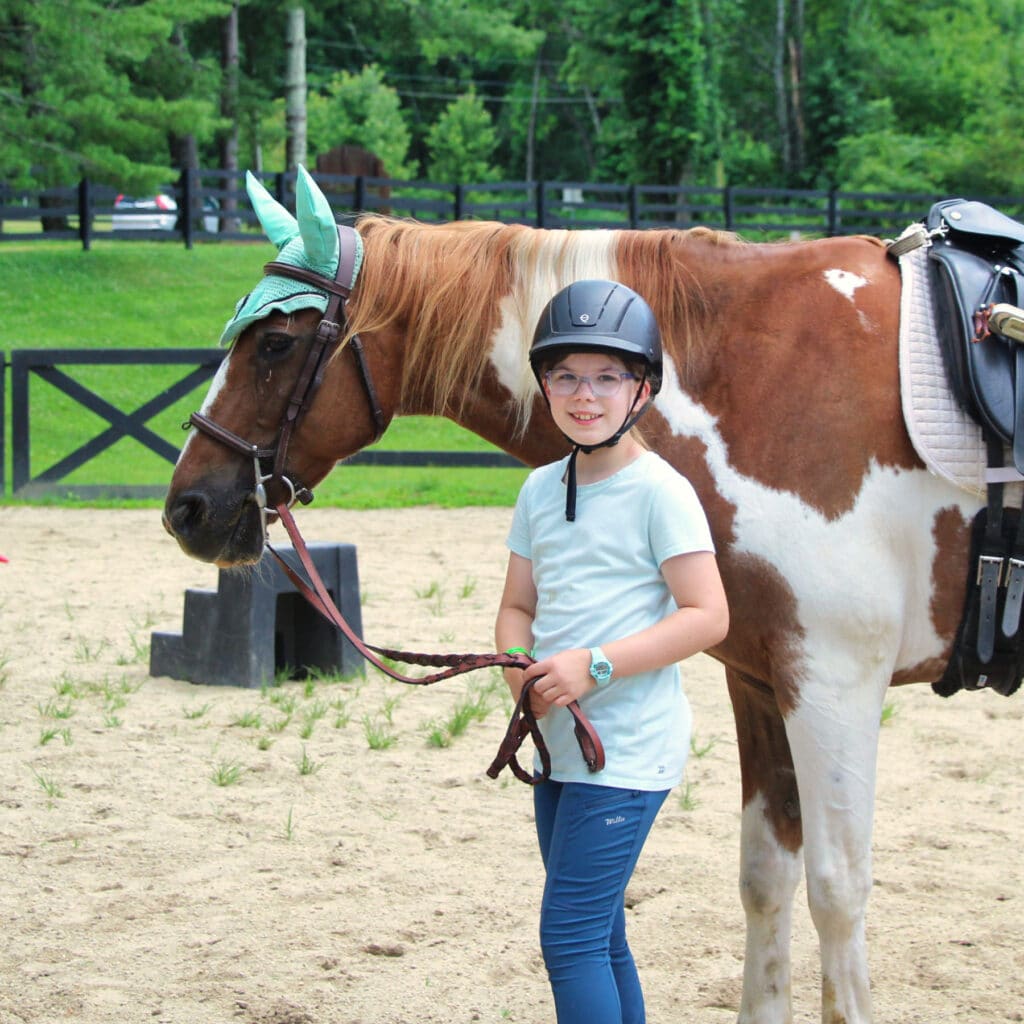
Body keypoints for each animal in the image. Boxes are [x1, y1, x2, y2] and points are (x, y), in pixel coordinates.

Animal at [165, 167, 983, 1024]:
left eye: (276, 343)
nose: (187, 507)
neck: (761, 380)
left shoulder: (834, 683)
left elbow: (837, 892)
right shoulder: (764, 682)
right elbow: (766, 878)